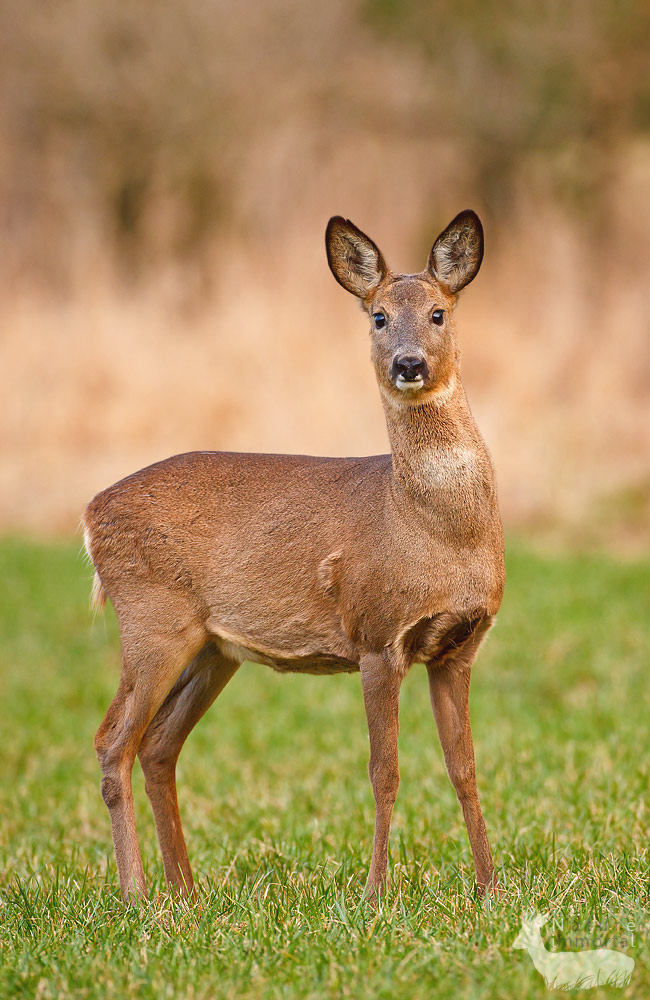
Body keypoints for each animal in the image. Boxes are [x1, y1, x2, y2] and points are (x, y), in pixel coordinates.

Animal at [82, 210, 505, 903]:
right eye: (378, 315)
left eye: (439, 312)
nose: (409, 363)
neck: (434, 531)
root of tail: (91, 515)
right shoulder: (376, 634)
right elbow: (384, 769)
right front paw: (375, 895)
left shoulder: (459, 646)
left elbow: (465, 767)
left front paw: (491, 888)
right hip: (151, 618)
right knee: (112, 741)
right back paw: (138, 896)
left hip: (212, 647)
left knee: (158, 745)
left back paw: (187, 894)